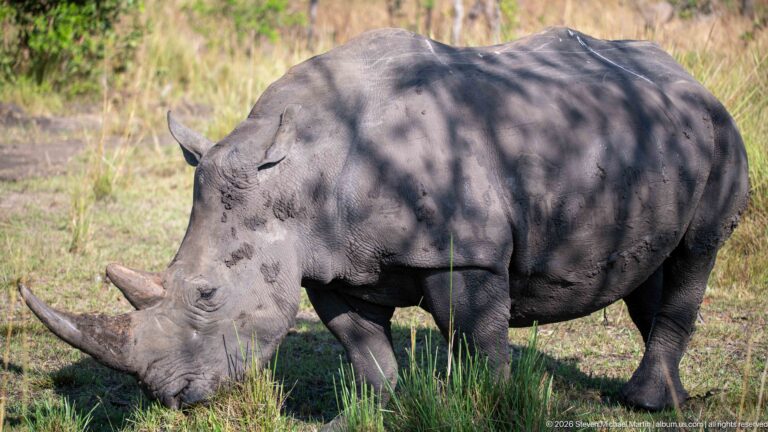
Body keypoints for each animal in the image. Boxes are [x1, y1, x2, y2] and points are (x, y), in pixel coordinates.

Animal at [20, 27, 749, 412]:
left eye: (209, 294)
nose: (172, 396)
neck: (296, 166)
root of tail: (692, 78)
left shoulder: (467, 252)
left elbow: (478, 338)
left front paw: (493, 408)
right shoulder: (325, 259)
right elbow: (362, 345)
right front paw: (381, 412)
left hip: (720, 131)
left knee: (697, 253)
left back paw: (645, 403)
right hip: (652, 134)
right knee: (653, 270)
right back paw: (667, 398)